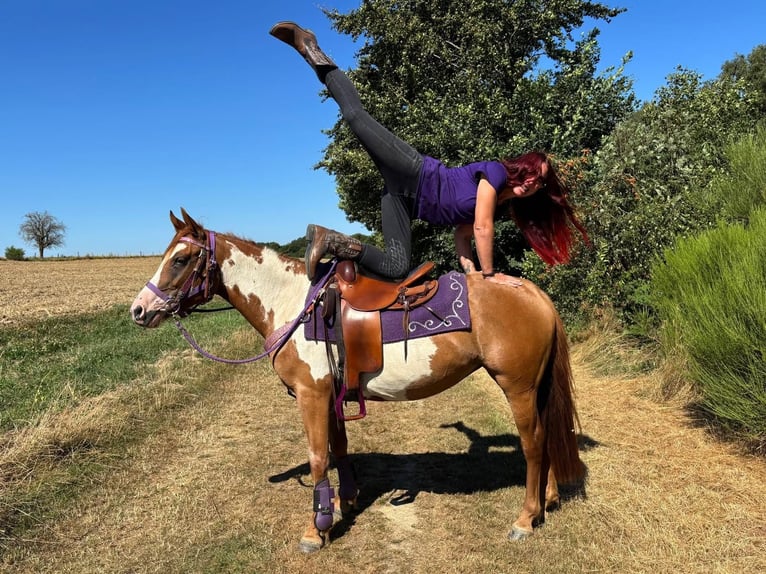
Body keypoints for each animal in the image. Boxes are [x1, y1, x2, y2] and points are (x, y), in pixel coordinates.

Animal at [130, 208, 586, 552]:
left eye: (180, 260)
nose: (139, 310)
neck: (294, 304)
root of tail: (535, 293)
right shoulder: (331, 393)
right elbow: (339, 447)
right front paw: (343, 503)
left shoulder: (311, 395)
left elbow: (318, 456)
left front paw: (315, 530)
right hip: (535, 387)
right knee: (545, 438)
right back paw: (548, 500)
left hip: (518, 387)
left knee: (533, 443)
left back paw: (525, 518)